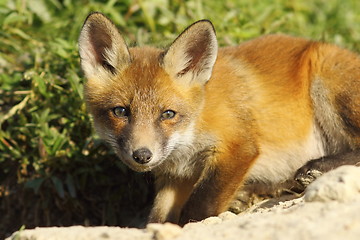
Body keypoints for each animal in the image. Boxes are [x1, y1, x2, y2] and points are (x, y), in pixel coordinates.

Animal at [79, 12, 360, 226]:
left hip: (328, 83)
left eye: (168, 114)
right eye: (120, 111)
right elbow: (157, 218)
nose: (142, 155)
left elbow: (199, 208)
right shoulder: (176, 176)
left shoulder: (238, 147)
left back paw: (316, 169)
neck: (195, 124)